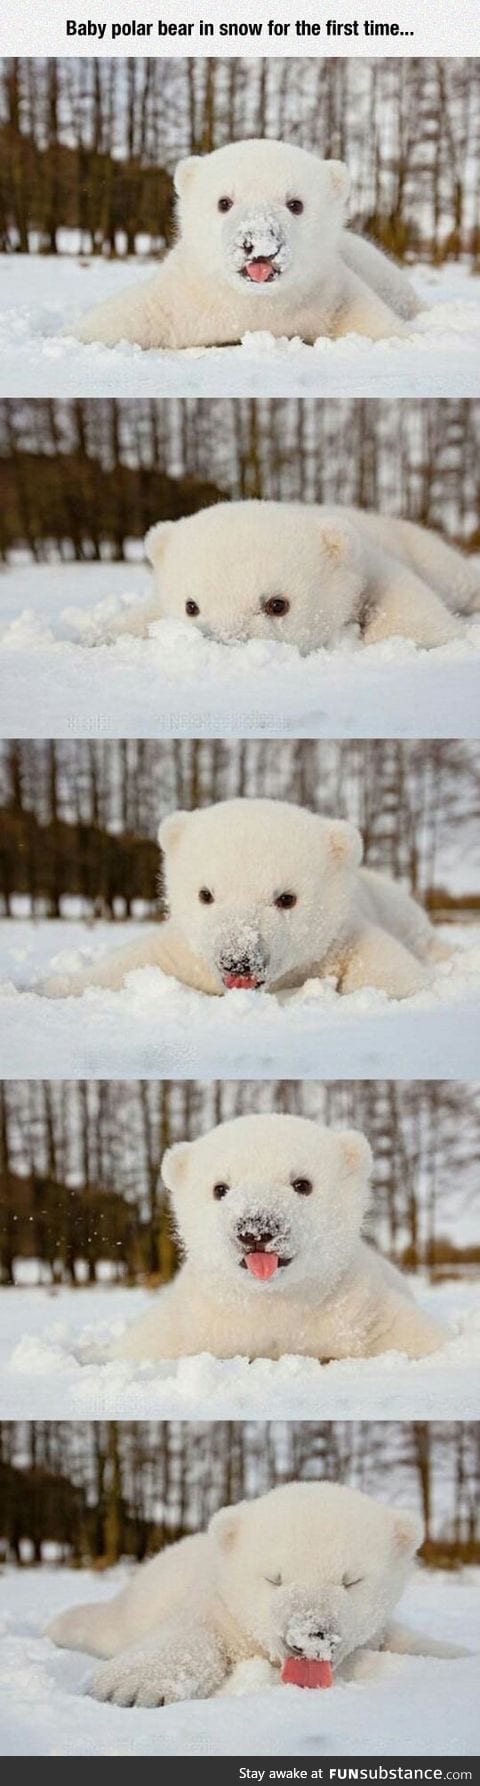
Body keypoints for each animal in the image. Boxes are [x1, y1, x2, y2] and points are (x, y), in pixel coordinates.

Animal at [43, 800, 446, 1007]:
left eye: (286, 898)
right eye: (205, 894)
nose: (237, 960)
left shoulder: (340, 940)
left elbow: (390, 971)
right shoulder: (185, 951)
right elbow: (132, 963)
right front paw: (52, 986)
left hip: (402, 910)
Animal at [45, 1478, 463, 1700]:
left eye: (351, 1580)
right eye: (274, 1578)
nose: (309, 1635)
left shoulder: (378, 1630)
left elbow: (406, 1640)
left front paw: (456, 1655)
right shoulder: (217, 1605)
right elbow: (191, 1634)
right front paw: (129, 1686)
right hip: (136, 1604)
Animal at [71, 136, 417, 351]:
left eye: (295, 204)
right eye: (224, 202)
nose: (259, 242)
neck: (253, 306)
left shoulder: (332, 296)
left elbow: (380, 326)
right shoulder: (179, 298)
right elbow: (122, 317)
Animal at [100, 503, 478, 657]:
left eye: (277, 604)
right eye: (191, 606)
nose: (225, 641)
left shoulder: (371, 564)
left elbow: (406, 610)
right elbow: (140, 617)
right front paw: (100, 634)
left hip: (421, 548)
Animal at [115, 1107, 444, 1357]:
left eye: (302, 1184)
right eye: (220, 1188)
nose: (255, 1230)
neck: (272, 1303)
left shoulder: (359, 1311)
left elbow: (414, 1335)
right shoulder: (194, 1321)